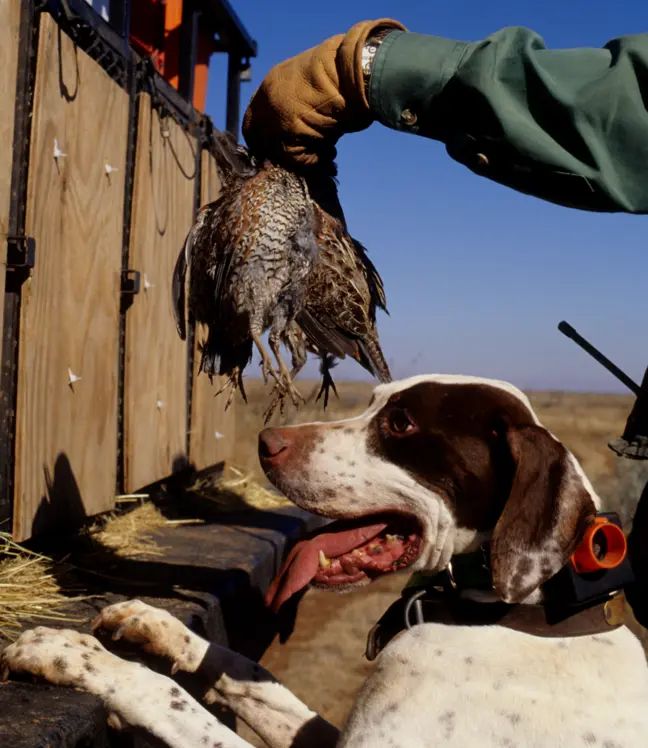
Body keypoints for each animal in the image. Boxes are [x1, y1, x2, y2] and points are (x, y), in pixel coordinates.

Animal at [1, 376, 648, 744]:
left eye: (400, 422)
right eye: (374, 401)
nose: (265, 443)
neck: (513, 614)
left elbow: (173, 701)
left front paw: (74, 656)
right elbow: (248, 674)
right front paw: (153, 625)